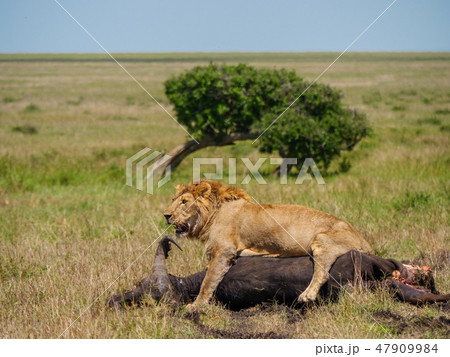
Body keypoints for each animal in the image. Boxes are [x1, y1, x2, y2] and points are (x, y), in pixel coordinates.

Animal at [163, 179, 374, 310]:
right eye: (173, 200)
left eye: (184, 202)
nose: (166, 215)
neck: (212, 215)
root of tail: (364, 241)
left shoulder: (224, 252)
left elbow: (208, 281)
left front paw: (196, 305)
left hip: (322, 239)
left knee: (322, 273)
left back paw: (307, 295)